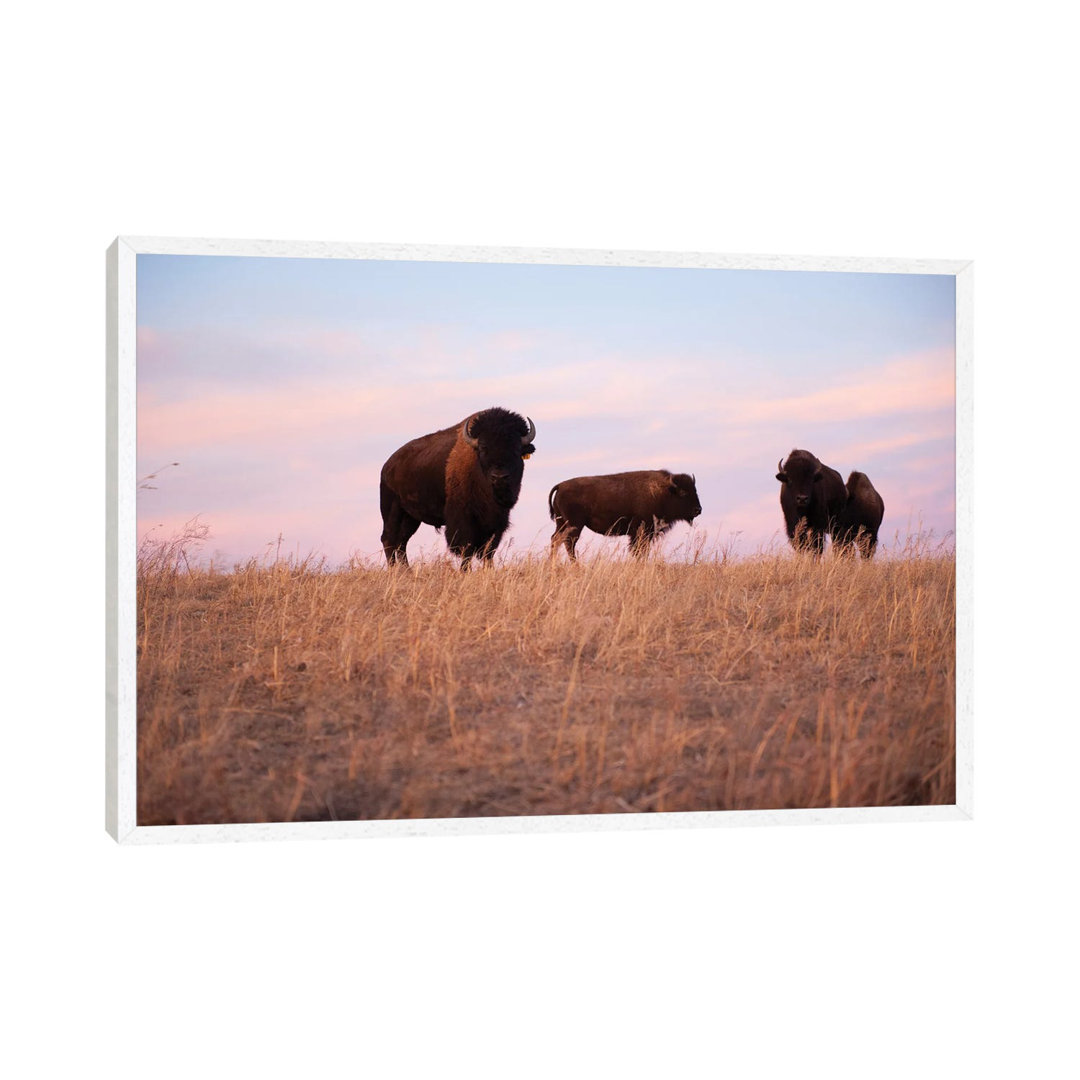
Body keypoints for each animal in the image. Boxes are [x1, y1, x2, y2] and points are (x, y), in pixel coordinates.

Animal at [548, 468, 699, 561]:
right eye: (683, 493)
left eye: (695, 490)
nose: (698, 509)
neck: (664, 492)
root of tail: (560, 485)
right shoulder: (640, 532)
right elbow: (638, 550)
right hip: (575, 525)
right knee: (569, 543)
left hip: (561, 524)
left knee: (556, 540)